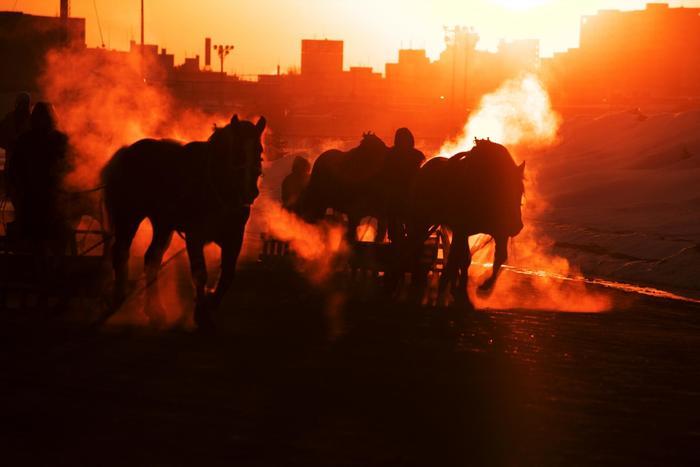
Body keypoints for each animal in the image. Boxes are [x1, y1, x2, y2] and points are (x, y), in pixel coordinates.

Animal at [102, 115, 266, 328]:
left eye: (259, 151)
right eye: (237, 150)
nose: (250, 191)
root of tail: (126, 153)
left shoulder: (234, 237)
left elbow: (228, 275)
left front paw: (211, 301)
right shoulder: (195, 237)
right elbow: (200, 274)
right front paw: (202, 313)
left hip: (163, 225)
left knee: (152, 258)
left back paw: (154, 309)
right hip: (129, 217)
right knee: (121, 251)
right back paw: (120, 294)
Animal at [402, 139, 524, 308]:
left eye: (520, 191)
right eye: (504, 189)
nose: (516, 225)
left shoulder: (498, 232)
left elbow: (499, 257)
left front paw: (484, 286)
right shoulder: (462, 229)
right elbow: (461, 258)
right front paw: (457, 291)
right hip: (421, 221)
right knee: (417, 245)